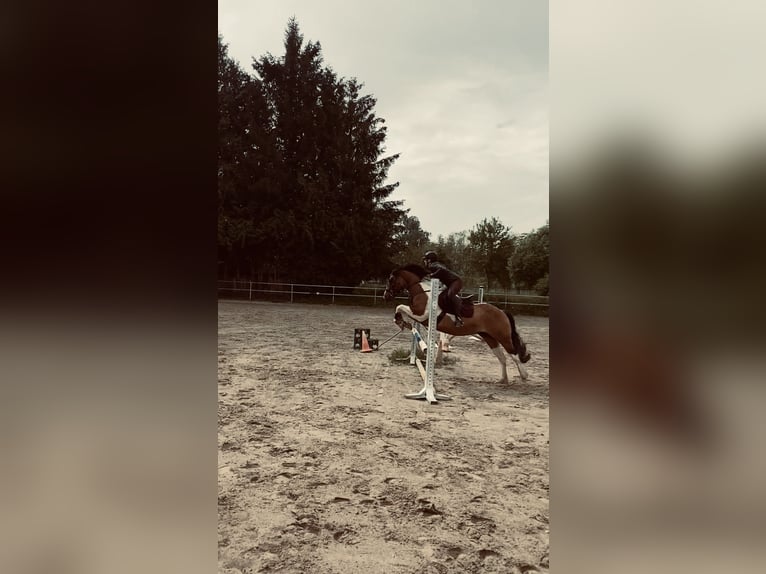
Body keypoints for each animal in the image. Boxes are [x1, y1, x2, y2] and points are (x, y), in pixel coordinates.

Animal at [384, 266, 536, 388]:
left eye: (391, 279)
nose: (386, 295)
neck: (423, 292)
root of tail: (501, 311)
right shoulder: (420, 317)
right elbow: (401, 309)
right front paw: (403, 322)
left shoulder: (422, 315)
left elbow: (400, 306)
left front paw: (402, 322)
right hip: (489, 337)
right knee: (502, 358)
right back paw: (503, 380)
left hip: (502, 336)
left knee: (514, 355)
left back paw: (524, 376)